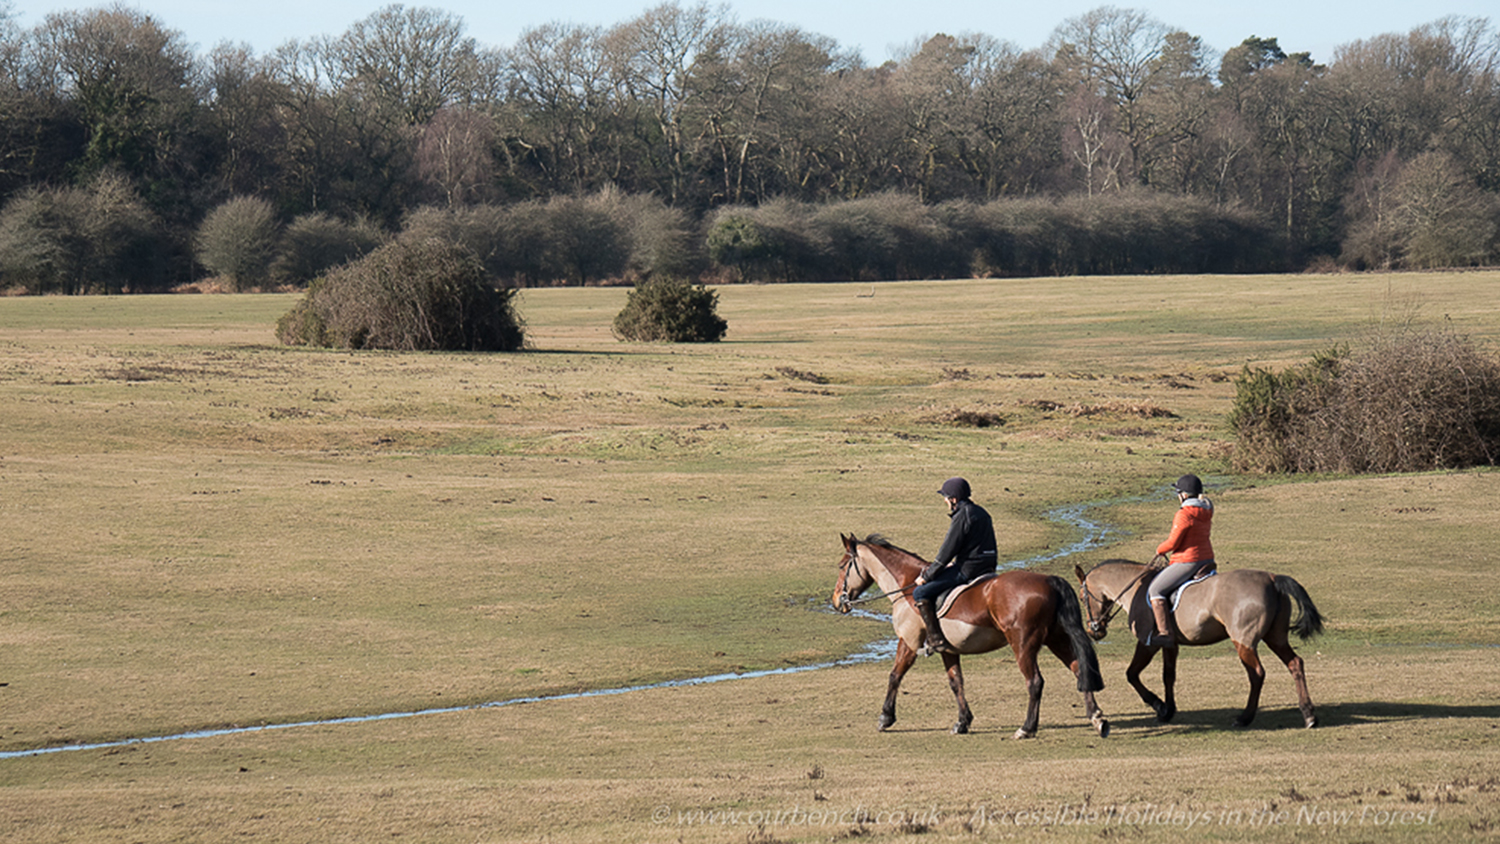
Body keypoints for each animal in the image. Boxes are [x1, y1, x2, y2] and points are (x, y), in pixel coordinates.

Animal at [828, 533, 1110, 740]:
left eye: (842, 566)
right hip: (1057, 639)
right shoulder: (948, 650)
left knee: (1035, 682)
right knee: (1079, 669)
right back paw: (1097, 718)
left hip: (1023, 645)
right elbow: (956, 682)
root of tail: (1049, 580)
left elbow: (895, 675)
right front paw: (962, 722)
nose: (836, 601)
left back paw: (1027, 728)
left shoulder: (908, 642)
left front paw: (886, 717)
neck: (907, 587)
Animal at [1074, 557, 1320, 728]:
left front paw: (1158, 705)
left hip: (1243, 641)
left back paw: (1245, 718)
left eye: (1082, 597)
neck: (1136, 588)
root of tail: (1271, 577)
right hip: (1276, 638)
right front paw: (1168, 710)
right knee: (1295, 664)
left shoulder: (1147, 643)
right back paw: (1308, 714)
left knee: (1256, 674)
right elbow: (1168, 676)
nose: (1094, 630)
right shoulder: (1170, 644)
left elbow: (1132, 674)